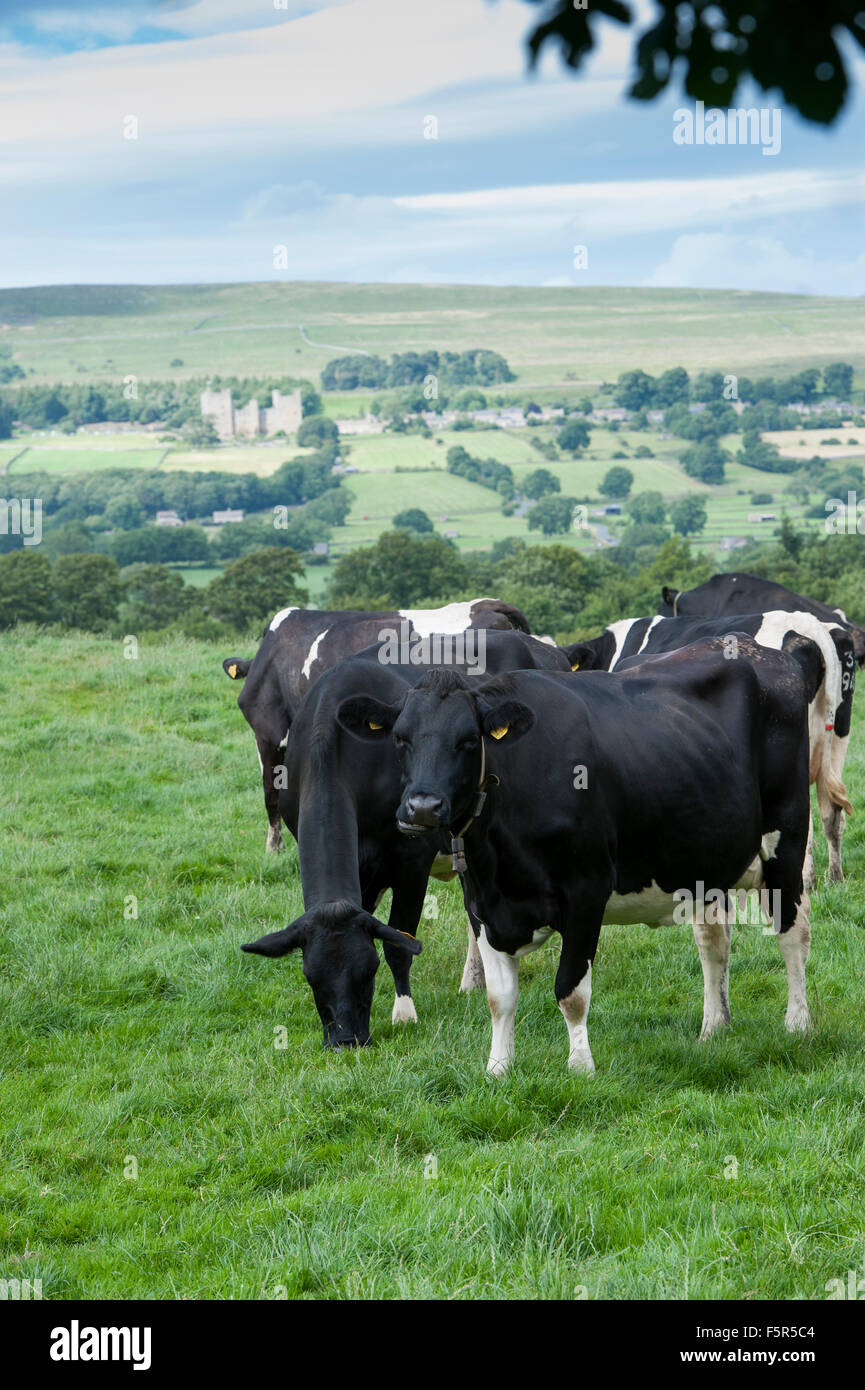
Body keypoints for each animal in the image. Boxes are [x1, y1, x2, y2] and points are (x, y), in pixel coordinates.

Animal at [240, 630, 569, 1048]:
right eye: (311, 978)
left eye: (367, 971)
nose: (346, 1041)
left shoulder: (412, 860)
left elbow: (399, 940)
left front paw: (404, 1014)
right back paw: (473, 979)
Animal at [334, 638, 814, 1075]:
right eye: (401, 740)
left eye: (469, 741)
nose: (423, 808)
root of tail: (760, 650)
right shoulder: (481, 904)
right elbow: (499, 996)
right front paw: (498, 1067)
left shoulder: (586, 892)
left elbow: (571, 991)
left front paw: (581, 1067)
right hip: (705, 862)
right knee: (714, 944)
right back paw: (713, 1028)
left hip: (787, 841)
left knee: (793, 933)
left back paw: (798, 1023)